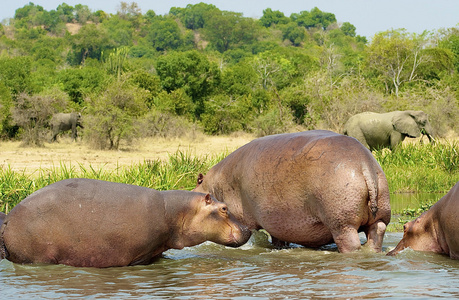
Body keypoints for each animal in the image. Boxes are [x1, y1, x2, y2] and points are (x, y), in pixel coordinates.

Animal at [0, 178, 252, 268]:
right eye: (224, 208)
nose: (248, 229)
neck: (176, 212)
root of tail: (9, 217)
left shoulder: (157, 250)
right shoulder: (141, 254)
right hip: (39, 257)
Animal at [194, 130, 392, 252]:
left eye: (196, 184)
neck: (214, 183)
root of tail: (363, 164)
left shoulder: (244, 220)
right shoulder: (277, 222)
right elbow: (278, 239)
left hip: (342, 223)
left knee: (350, 243)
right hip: (379, 214)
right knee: (377, 232)